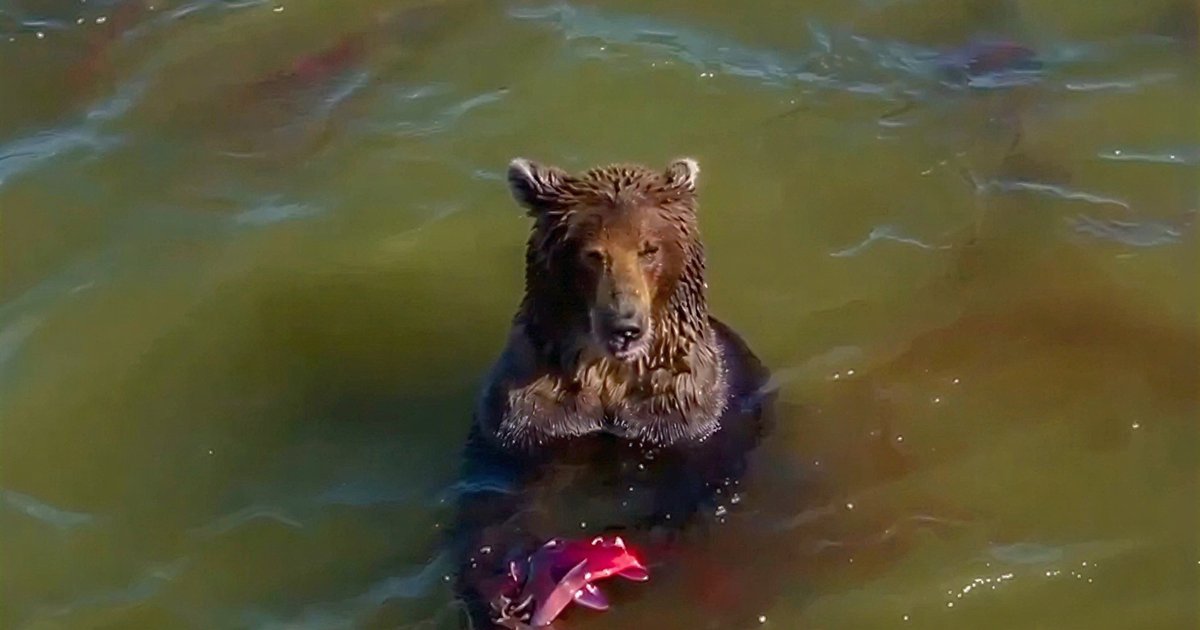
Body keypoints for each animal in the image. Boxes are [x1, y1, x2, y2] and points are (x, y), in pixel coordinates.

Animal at [448, 157, 774, 628]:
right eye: (592, 253)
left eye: (649, 249)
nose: (625, 326)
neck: (608, 376)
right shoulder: (530, 416)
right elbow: (495, 494)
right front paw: (500, 589)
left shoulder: (690, 411)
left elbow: (695, 486)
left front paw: (621, 545)